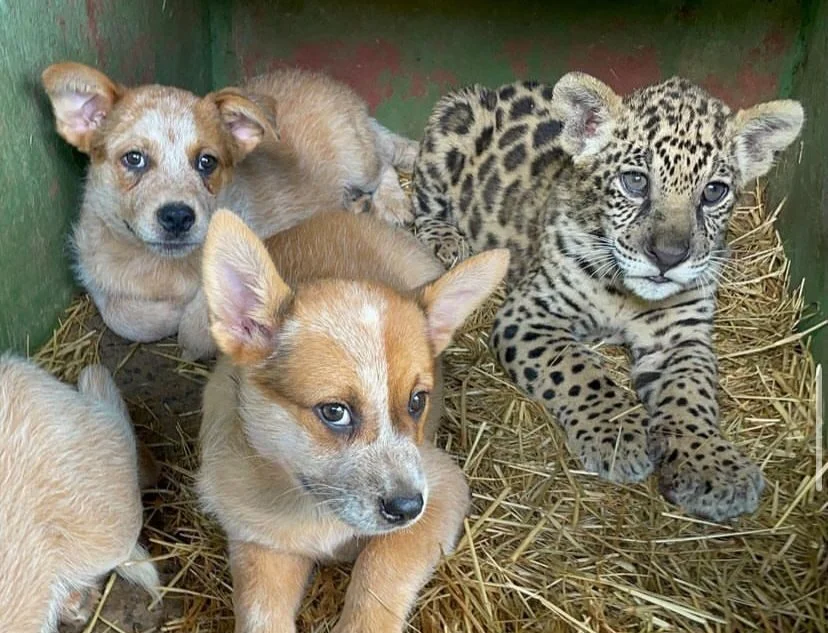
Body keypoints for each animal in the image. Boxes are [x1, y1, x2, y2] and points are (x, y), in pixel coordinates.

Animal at [197, 209, 508, 632]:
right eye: (334, 412)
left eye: (416, 402)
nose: (407, 507)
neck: (313, 510)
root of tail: (338, 213)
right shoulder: (257, 539)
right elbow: (261, 612)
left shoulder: (442, 491)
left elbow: (379, 571)